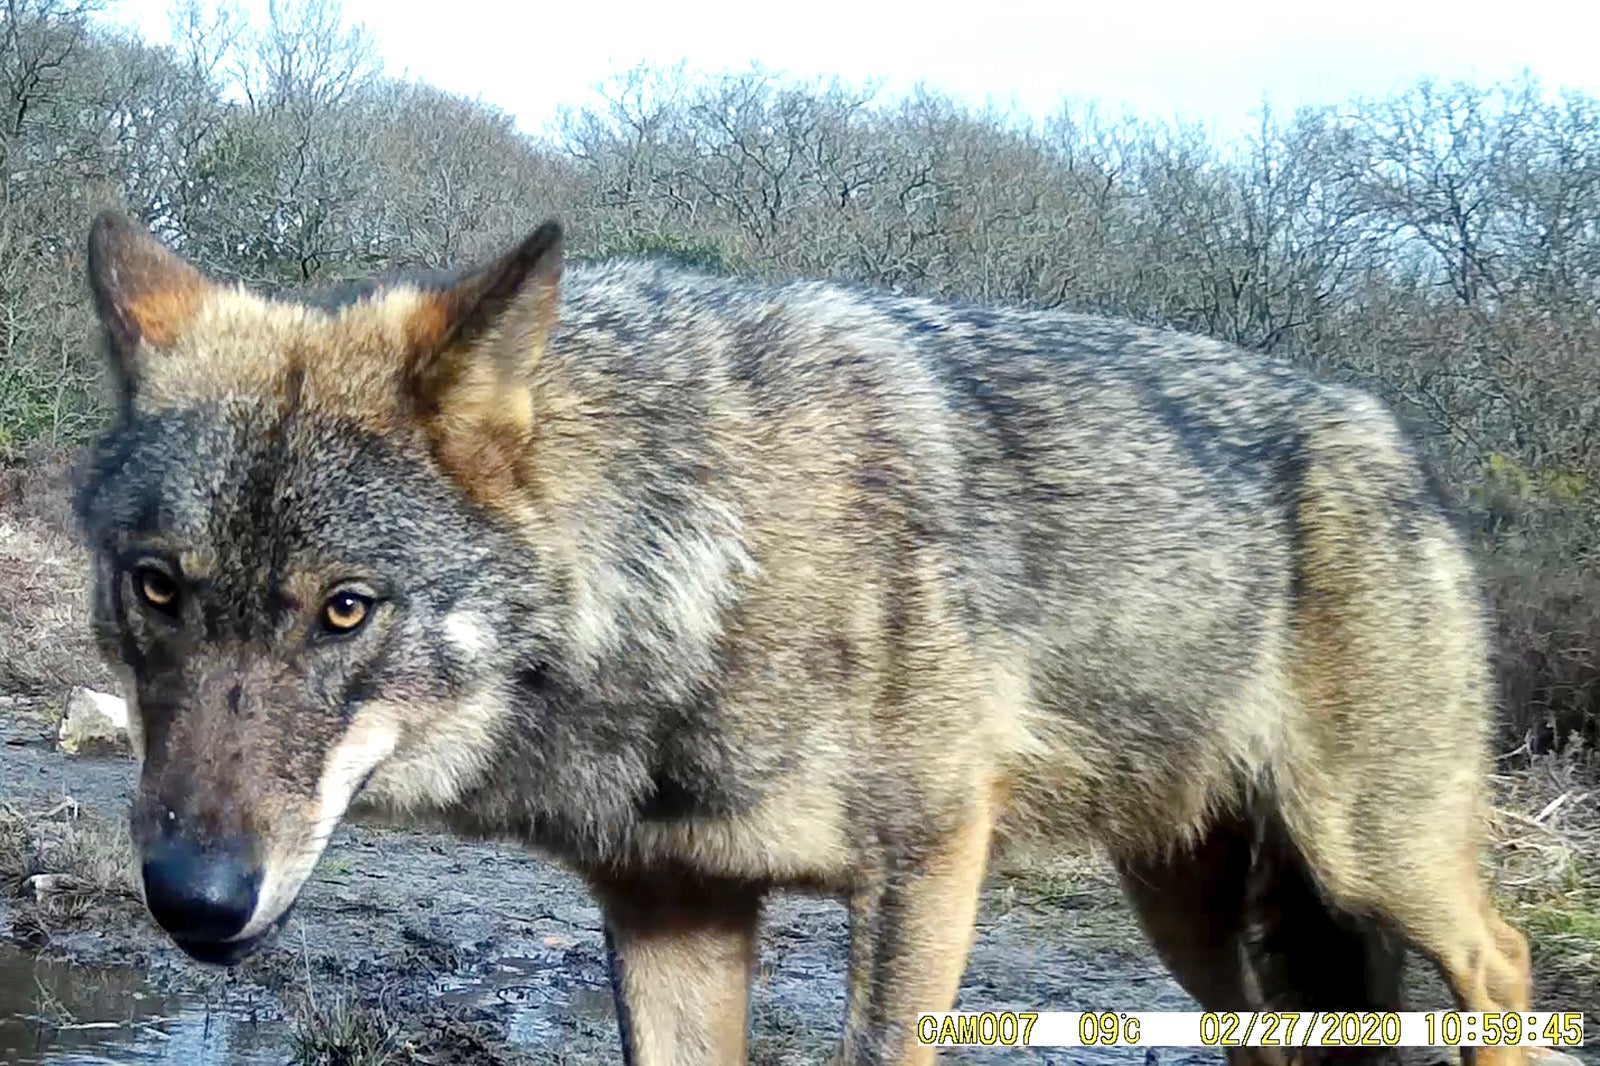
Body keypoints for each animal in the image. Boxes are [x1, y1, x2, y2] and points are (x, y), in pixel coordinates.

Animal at [73, 209, 1553, 1066]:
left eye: (346, 606)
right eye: (158, 590)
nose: (195, 898)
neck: (698, 573)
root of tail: (1391, 436)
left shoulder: (928, 867)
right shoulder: (670, 911)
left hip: (1371, 856)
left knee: (1503, 957)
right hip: (1195, 907)